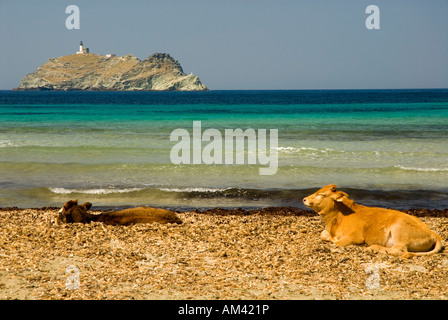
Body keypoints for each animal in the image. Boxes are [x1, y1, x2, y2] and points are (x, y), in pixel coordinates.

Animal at [302, 185, 442, 258]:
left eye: (322, 194)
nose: (304, 199)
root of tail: (434, 234)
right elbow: (323, 235)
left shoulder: (355, 236)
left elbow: (337, 243)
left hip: (399, 229)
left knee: (399, 250)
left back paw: (373, 248)